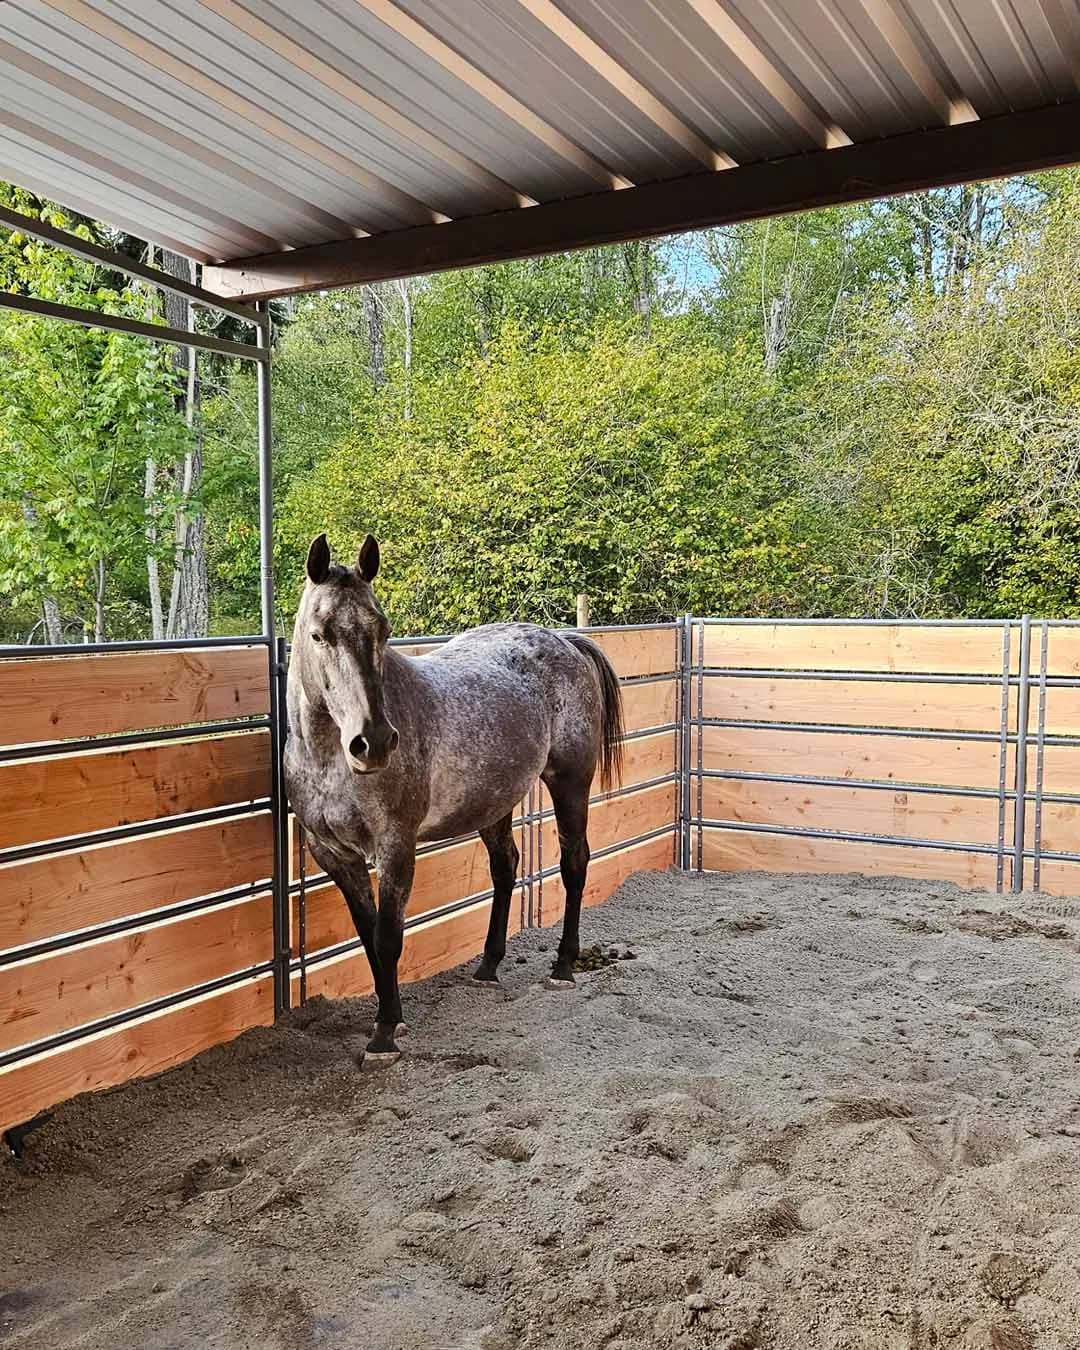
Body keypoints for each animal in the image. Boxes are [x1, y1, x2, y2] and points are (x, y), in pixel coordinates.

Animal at [283, 533, 624, 1066]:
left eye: (382, 630)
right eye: (320, 635)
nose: (373, 742)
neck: (326, 757)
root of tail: (563, 640)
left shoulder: (396, 847)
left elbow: (389, 936)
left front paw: (385, 1033)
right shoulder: (333, 854)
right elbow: (367, 935)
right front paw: (390, 1016)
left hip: (570, 781)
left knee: (575, 863)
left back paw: (563, 967)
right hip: (494, 802)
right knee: (506, 867)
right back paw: (488, 966)